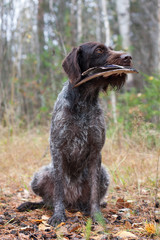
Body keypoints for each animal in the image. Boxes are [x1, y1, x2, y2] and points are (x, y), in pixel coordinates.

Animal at [17, 42, 132, 226]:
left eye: (111, 48)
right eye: (99, 50)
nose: (128, 57)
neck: (84, 100)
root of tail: (73, 202)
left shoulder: (96, 151)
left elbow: (94, 192)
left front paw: (96, 215)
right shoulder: (57, 148)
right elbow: (58, 190)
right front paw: (58, 215)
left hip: (104, 174)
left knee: (90, 198)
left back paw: (89, 207)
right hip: (40, 175)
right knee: (47, 201)